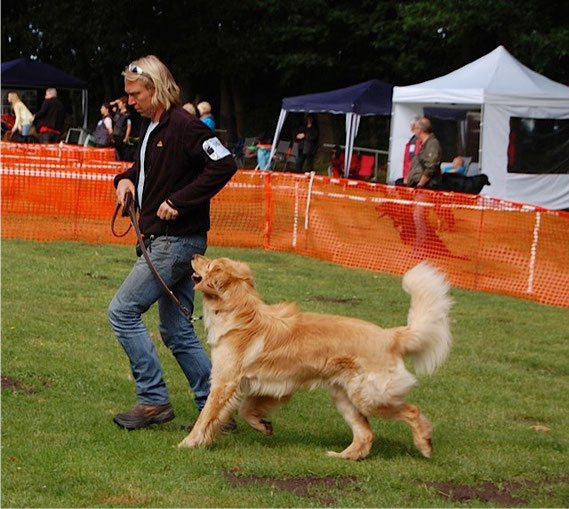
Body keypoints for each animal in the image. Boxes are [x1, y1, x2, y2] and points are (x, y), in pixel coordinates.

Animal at [180, 256, 450, 458]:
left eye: (209, 264)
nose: (194, 255)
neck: (242, 314)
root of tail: (391, 334)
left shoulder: (225, 382)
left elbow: (206, 416)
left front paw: (189, 442)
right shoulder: (270, 386)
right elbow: (246, 409)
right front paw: (263, 426)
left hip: (370, 396)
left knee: (412, 410)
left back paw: (425, 444)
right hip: (344, 397)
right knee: (366, 435)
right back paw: (342, 456)